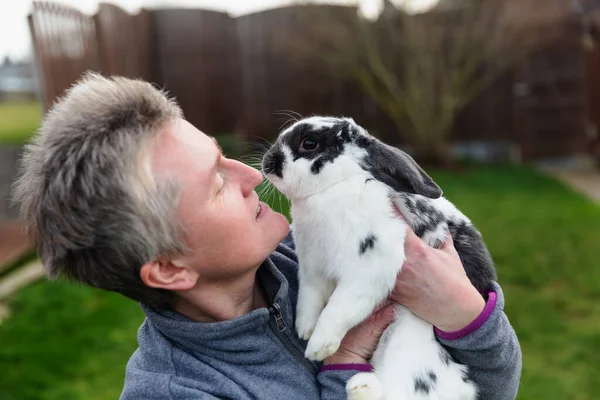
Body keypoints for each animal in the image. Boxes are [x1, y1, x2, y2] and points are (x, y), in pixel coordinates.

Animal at [262, 115, 496, 400]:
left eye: (309, 143)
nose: (268, 162)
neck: (333, 187)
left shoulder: (370, 267)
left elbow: (338, 309)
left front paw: (318, 346)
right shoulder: (313, 272)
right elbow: (310, 302)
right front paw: (303, 329)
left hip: (409, 347)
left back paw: (361, 385)